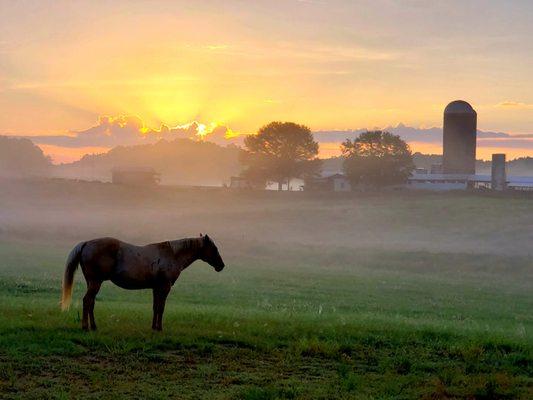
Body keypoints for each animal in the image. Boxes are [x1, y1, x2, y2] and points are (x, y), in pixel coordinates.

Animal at [61, 234, 225, 332]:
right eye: (214, 248)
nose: (221, 266)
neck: (172, 255)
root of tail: (86, 243)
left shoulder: (156, 288)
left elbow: (155, 307)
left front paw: (153, 327)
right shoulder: (164, 287)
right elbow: (161, 308)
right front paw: (159, 328)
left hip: (92, 282)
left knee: (91, 302)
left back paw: (94, 326)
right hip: (95, 282)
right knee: (87, 301)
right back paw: (85, 327)